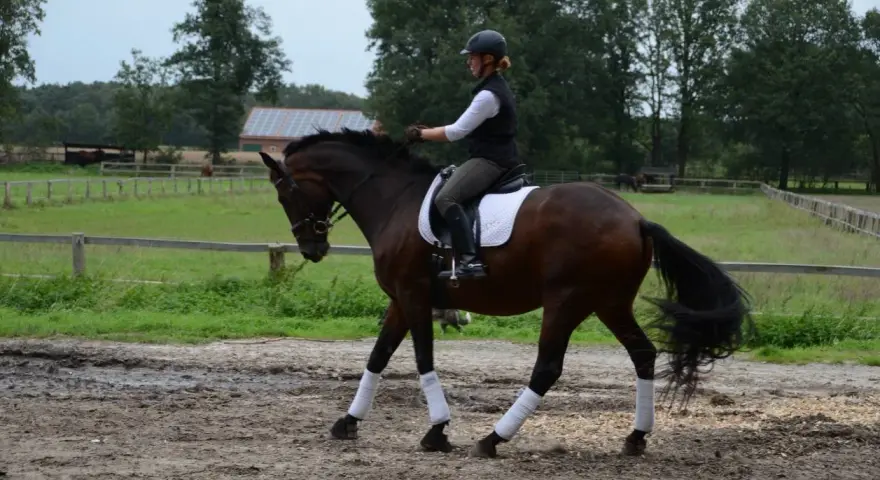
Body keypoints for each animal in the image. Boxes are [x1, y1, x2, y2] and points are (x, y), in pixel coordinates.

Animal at [258, 128, 753, 459]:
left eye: (285, 195)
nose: (312, 248)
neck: (394, 200)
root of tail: (634, 218)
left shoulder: (415, 296)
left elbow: (422, 359)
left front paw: (438, 431)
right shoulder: (400, 300)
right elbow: (377, 358)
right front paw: (348, 422)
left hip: (566, 302)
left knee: (547, 368)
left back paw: (493, 438)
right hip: (609, 304)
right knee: (644, 355)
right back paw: (635, 438)